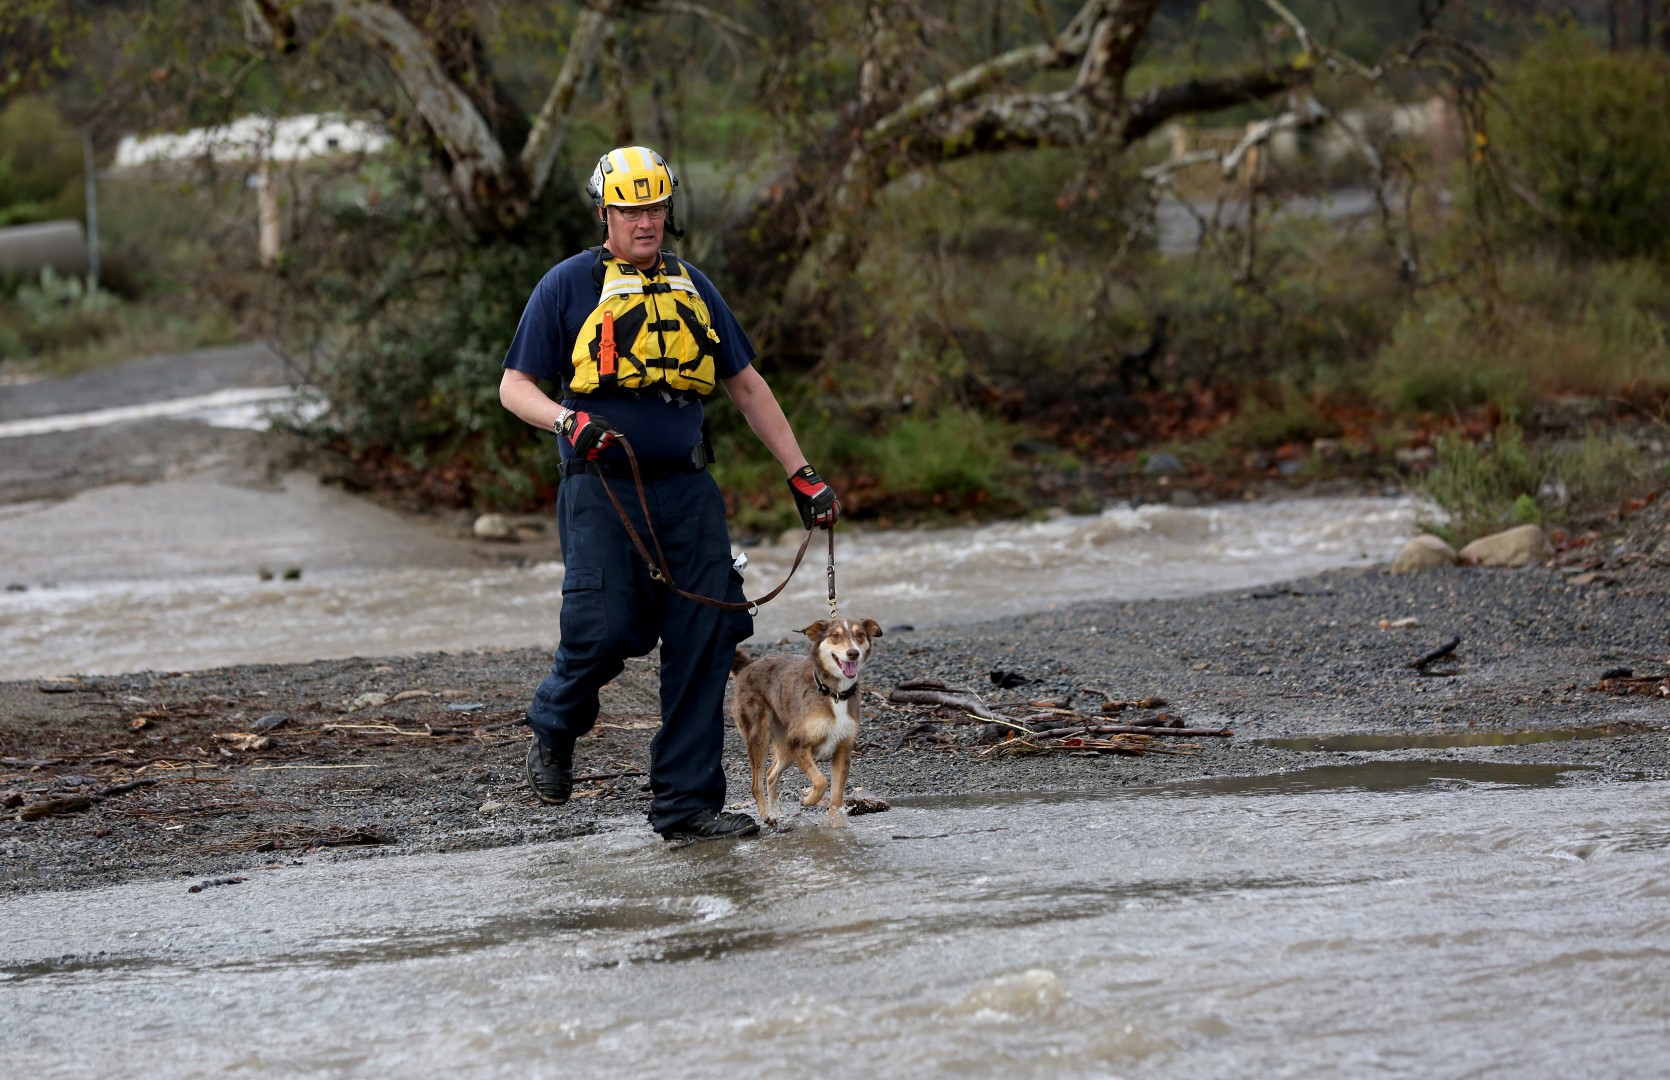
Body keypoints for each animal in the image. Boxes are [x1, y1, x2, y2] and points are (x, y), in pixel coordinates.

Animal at [734, 617, 881, 827]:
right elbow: (821, 781)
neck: (834, 694)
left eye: (859, 634)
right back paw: (767, 815)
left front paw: (835, 825)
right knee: (755, 783)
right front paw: (809, 800)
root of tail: (748, 665)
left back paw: (776, 811)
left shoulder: (842, 750)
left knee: (770, 774)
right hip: (760, 736)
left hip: (785, 748)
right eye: (835, 635)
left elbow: (837, 796)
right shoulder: (798, 744)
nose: (853, 653)